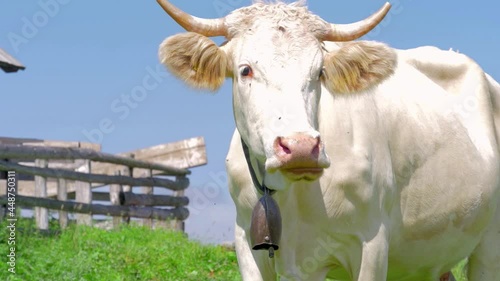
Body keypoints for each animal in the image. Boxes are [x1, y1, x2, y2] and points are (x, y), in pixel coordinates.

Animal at [156, 0, 500, 280]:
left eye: (320, 72)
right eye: (245, 70)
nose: (300, 148)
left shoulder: (372, 244)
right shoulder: (248, 245)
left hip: (488, 249)